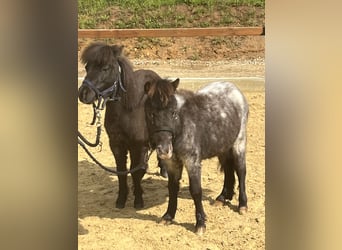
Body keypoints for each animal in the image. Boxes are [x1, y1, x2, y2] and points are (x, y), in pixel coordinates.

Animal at [78, 43, 164, 209]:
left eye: (105, 68)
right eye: (87, 67)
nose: (83, 94)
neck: (128, 110)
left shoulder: (138, 146)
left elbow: (136, 172)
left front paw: (138, 200)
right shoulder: (116, 144)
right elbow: (121, 171)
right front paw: (121, 199)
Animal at [144, 78, 248, 234]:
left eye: (174, 113)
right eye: (151, 114)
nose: (164, 150)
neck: (181, 126)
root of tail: (234, 89)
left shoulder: (191, 161)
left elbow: (196, 190)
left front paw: (200, 224)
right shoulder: (172, 163)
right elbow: (172, 188)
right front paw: (168, 216)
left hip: (239, 143)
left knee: (241, 171)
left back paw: (242, 205)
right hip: (223, 147)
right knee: (228, 170)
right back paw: (222, 198)